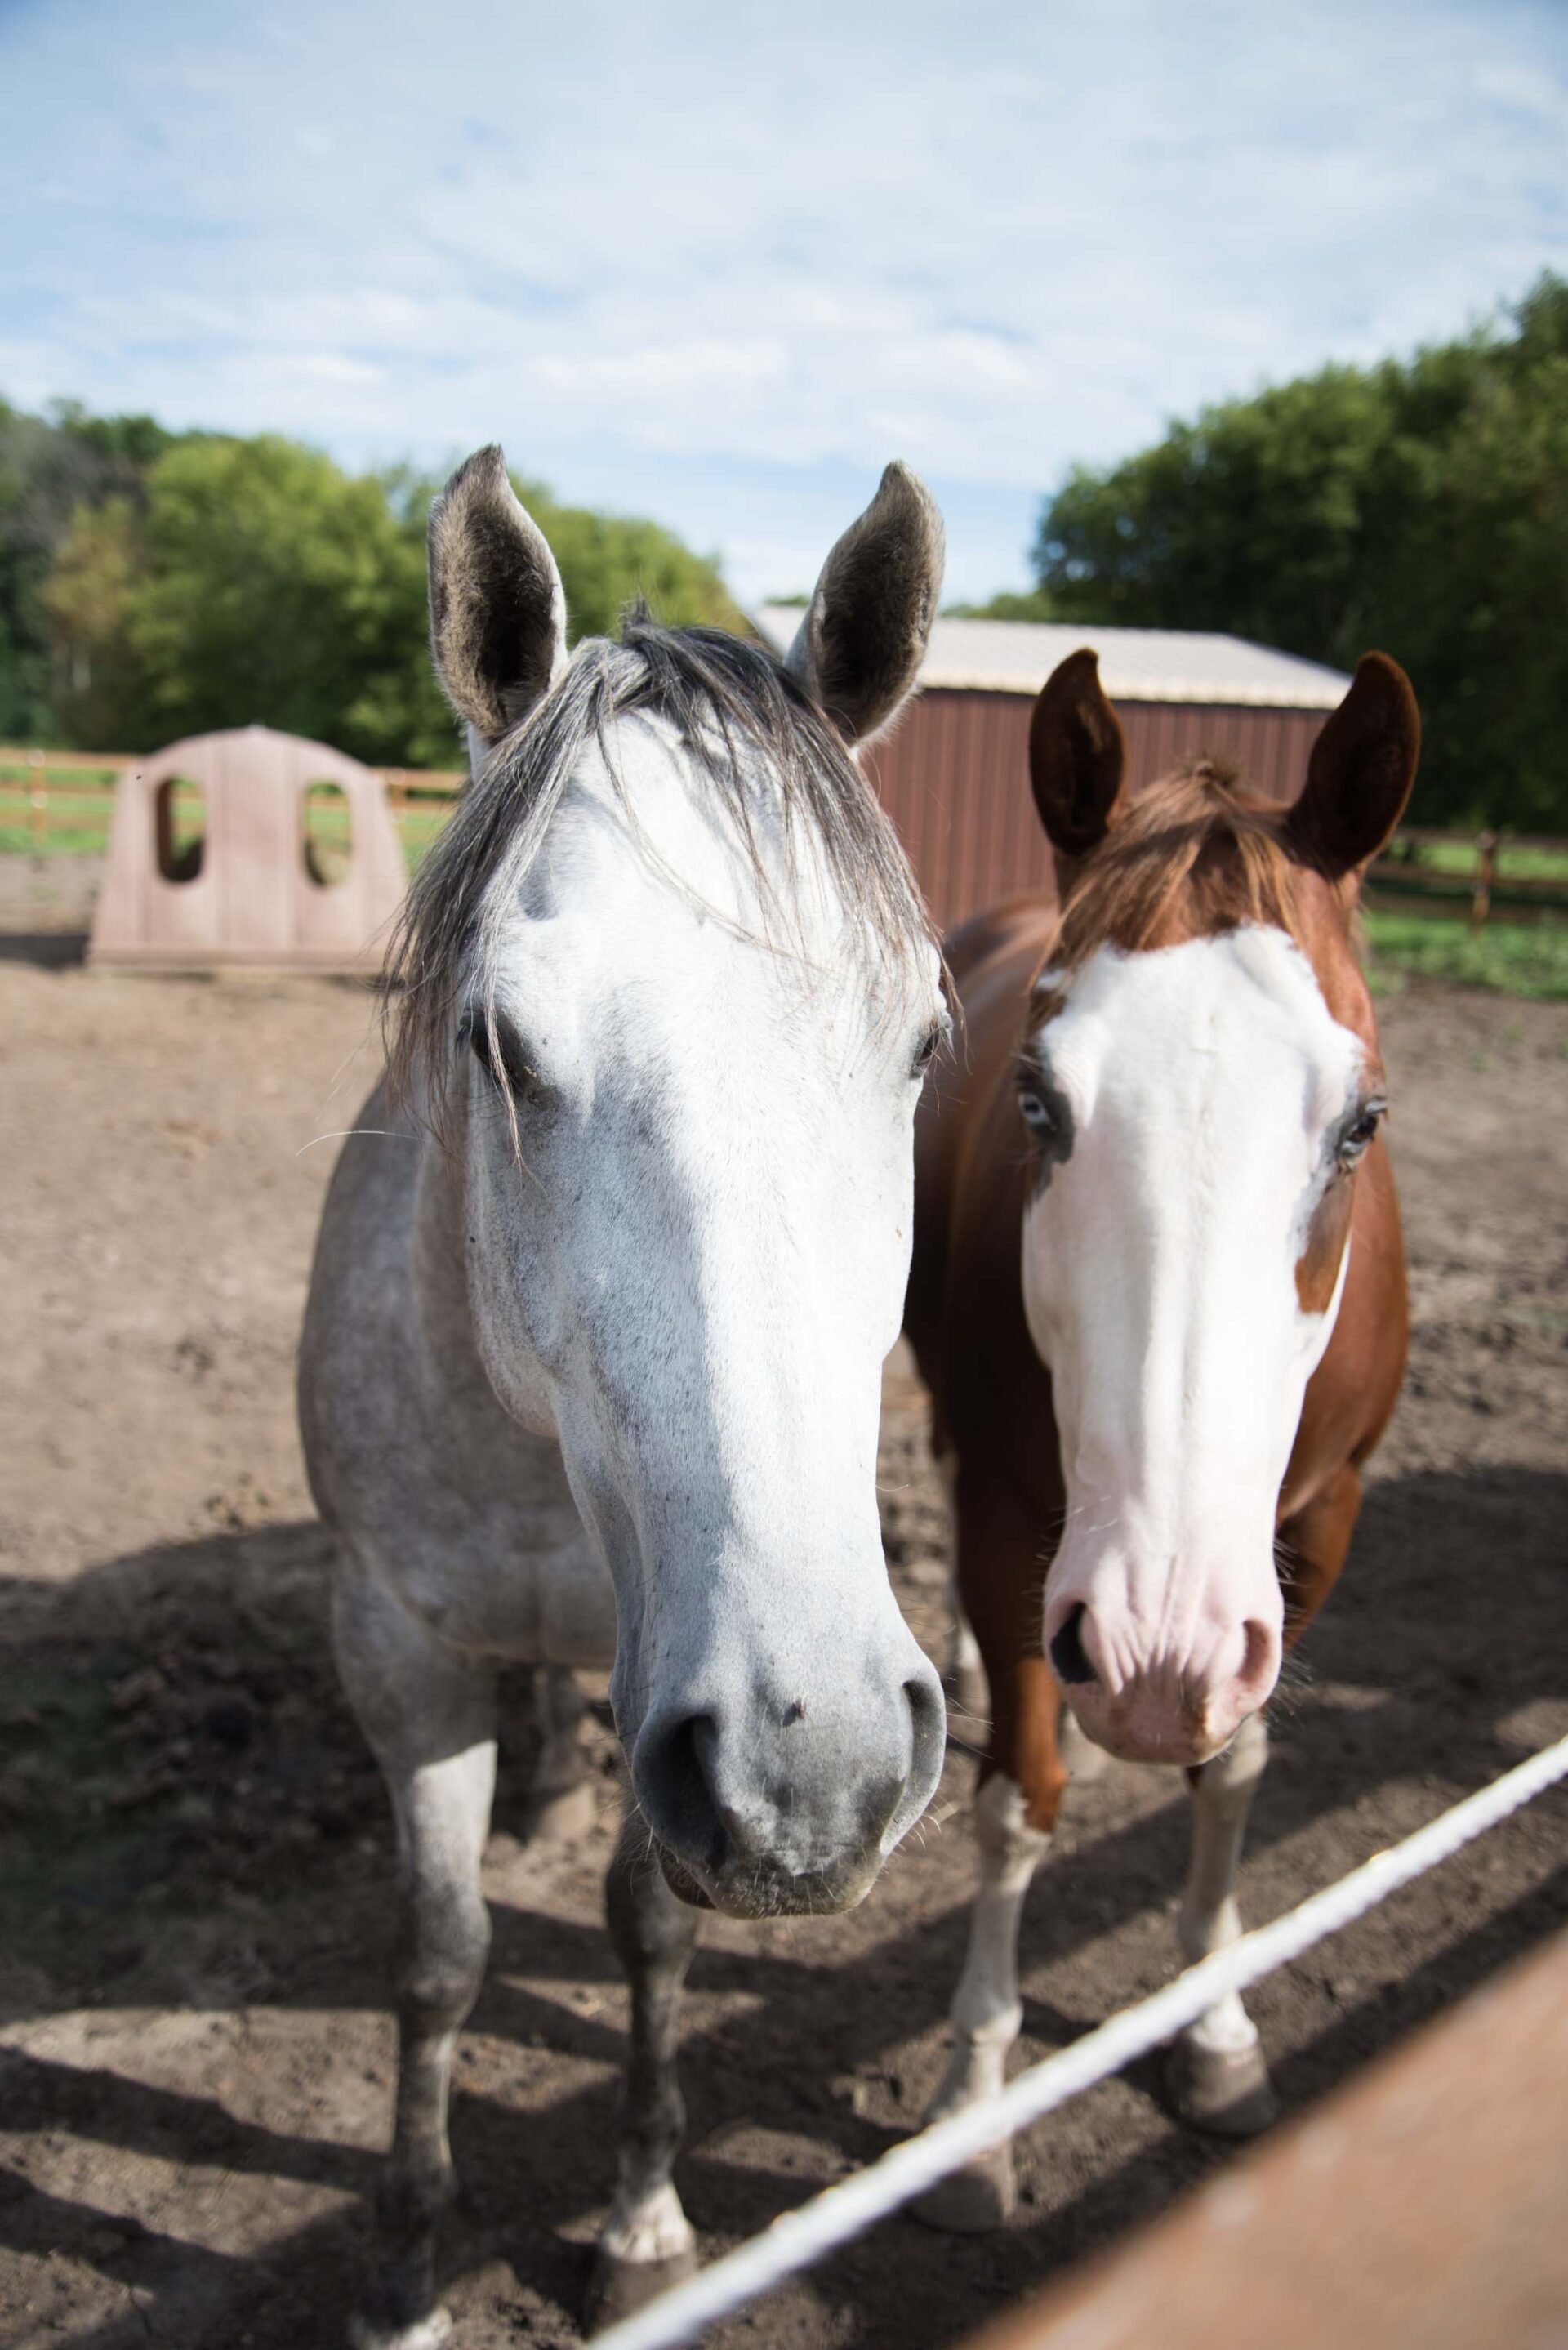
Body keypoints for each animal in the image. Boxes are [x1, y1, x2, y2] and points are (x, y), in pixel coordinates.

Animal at [303, 448, 949, 2340]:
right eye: (497, 1041)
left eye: (924, 1041)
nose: (820, 1763)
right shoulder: (395, 1646)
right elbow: (439, 1956)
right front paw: (406, 2260)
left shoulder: (658, 1682)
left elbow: (652, 1935)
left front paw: (644, 2223)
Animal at [902, 653, 1419, 2227]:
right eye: (1035, 1098)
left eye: (1360, 1121)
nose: (1157, 1647)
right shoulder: (1012, 1512)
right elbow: (1024, 1800)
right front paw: (975, 2105)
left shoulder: (1323, 1516)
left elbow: (1234, 1770)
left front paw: (1215, 2024)